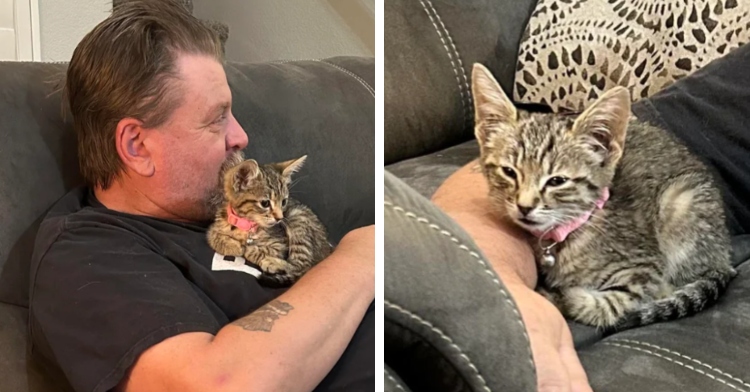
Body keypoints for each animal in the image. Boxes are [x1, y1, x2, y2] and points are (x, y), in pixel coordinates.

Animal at [207, 155, 334, 286]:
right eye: (265, 203)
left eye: (283, 202)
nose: (280, 218)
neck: (246, 224)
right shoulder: (216, 225)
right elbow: (213, 236)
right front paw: (234, 246)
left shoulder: (281, 244)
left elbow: (257, 250)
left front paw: (248, 249)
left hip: (297, 217)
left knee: (303, 267)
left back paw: (273, 263)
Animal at [472, 63, 736, 330]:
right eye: (509, 172)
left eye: (557, 181)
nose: (524, 206)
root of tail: (724, 256)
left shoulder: (645, 265)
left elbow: (606, 306)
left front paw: (563, 295)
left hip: (681, 202)